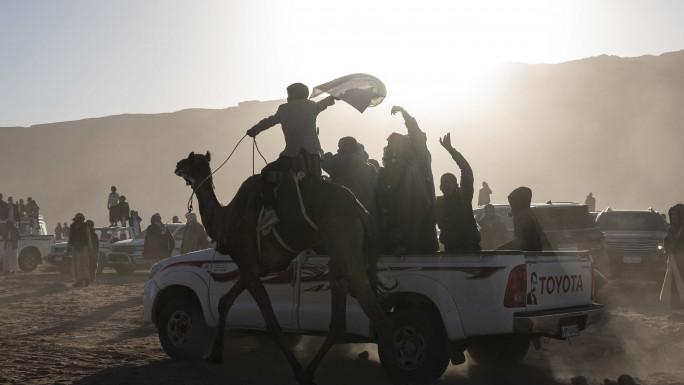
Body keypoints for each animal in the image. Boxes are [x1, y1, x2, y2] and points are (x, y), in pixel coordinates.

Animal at [174, 152, 404, 384]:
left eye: (189, 159)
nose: (177, 165)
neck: (226, 219)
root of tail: (361, 210)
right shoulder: (255, 268)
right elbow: (224, 302)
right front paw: (215, 353)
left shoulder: (248, 268)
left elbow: (273, 325)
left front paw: (297, 371)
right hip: (340, 255)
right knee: (338, 320)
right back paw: (311, 370)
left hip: (343, 237)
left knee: (382, 321)